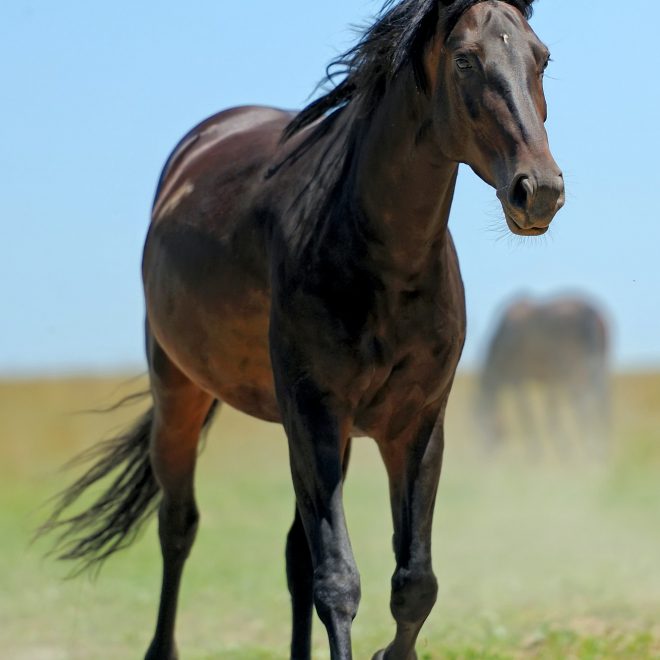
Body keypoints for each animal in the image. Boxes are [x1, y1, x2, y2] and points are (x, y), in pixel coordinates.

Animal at [41, 1, 564, 658]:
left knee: (294, 555)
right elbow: (338, 580)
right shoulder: (314, 413)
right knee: (178, 525)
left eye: (541, 57)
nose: (539, 191)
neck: (382, 260)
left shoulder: (416, 426)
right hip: (182, 394)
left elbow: (414, 583)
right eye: (466, 59)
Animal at [477, 296, 610, 455]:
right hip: (595, 369)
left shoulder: (519, 379)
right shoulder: (549, 383)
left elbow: (528, 414)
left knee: (586, 406)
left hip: (575, 372)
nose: (483, 456)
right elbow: (548, 414)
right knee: (599, 406)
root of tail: (590, 313)